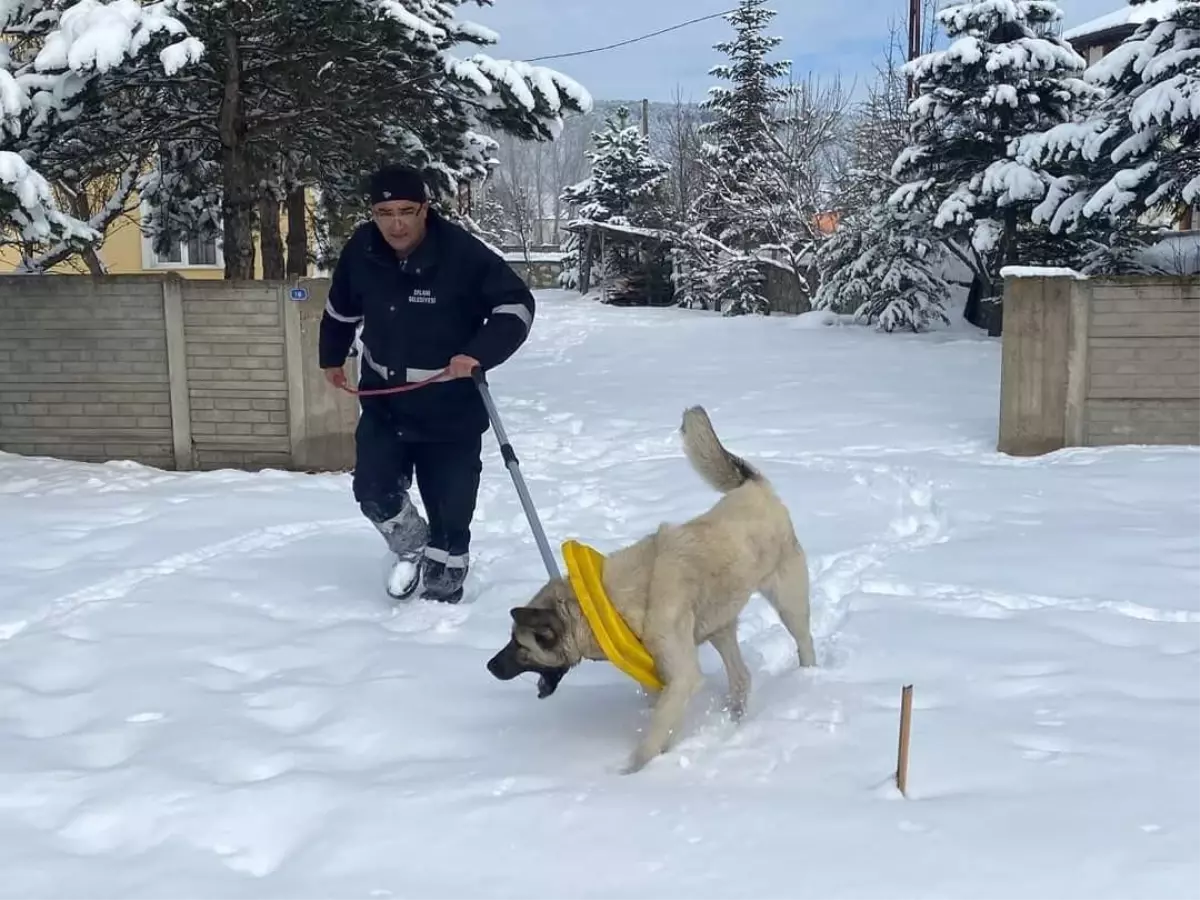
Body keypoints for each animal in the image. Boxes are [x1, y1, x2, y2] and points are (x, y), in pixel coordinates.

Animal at [484, 405, 816, 772]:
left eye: (520, 644)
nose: (489, 666)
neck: (608, 603)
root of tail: (754, 486)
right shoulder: (661, 677)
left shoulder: (681, 677)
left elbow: (653, 737)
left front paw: (634, 774)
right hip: (718, 625)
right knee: (741, 676)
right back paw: (736, 719)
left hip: (788, 602)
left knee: (804, 643)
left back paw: (808, 682)